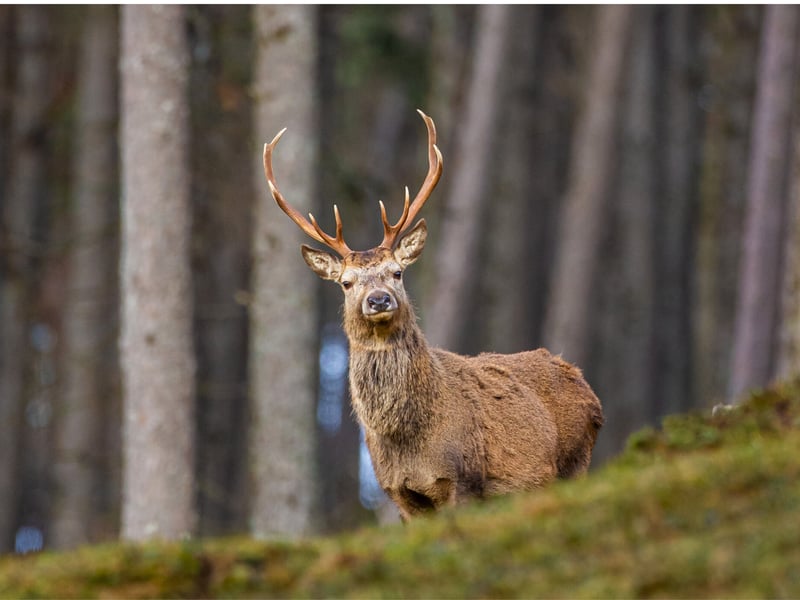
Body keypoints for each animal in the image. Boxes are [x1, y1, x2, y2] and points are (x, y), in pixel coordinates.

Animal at [262, 110, 603, 521]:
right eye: (346, 282)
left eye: (397, 272)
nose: (378, 300)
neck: (411, 444)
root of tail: (587, 389)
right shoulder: (399, 493)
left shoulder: (464, 479)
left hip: (574, 463)